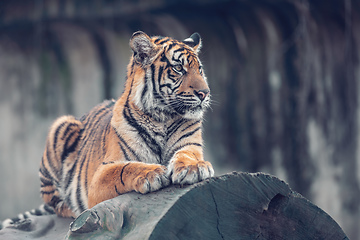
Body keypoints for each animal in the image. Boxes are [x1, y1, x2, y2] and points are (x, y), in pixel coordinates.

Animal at [33, 31, 215, 218]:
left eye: (200, 69)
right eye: (178, 68)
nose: (205, 93)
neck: (161, 119)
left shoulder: (189, 145)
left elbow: (187, 155)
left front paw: (193, 168)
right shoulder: (100, 176)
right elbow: (126, 168)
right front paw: (153, 172)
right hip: (62, 125)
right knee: (53, 200)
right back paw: (71, 209)